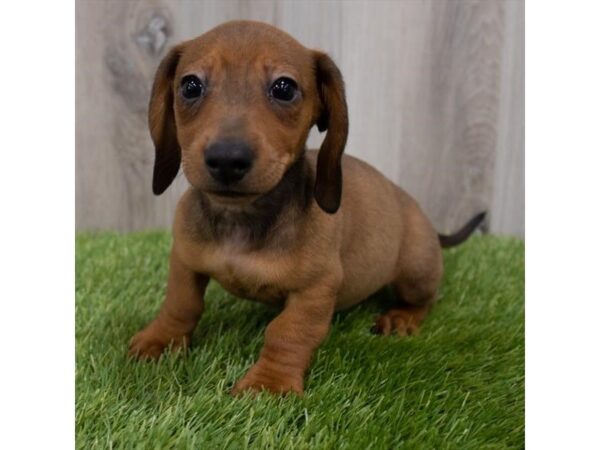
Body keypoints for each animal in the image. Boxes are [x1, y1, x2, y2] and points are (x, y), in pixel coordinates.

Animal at [129, 21, 486, 396]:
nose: (227, 159)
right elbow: (181, 303)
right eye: (190, 85)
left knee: (426, 300)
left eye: (284, 88)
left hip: (416, 271)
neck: (241, 219)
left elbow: (287, 332)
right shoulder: (185, 260)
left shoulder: (315, 291)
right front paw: (160, 339)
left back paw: (402, 316)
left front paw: (269, 384)